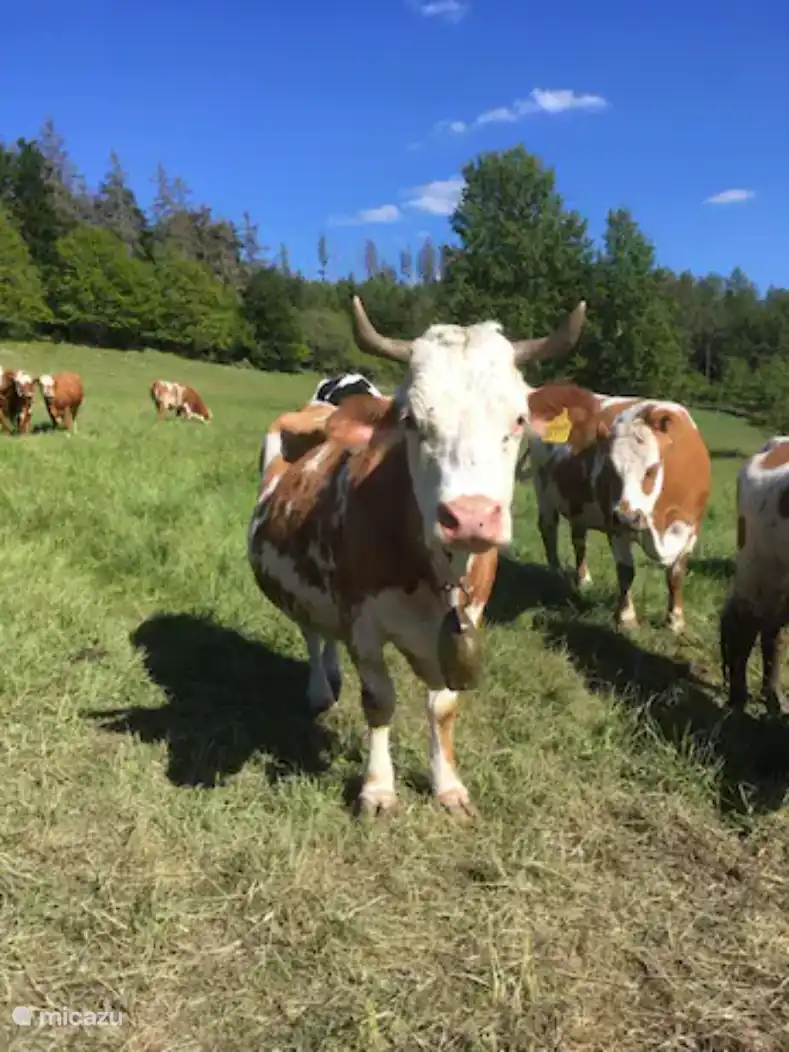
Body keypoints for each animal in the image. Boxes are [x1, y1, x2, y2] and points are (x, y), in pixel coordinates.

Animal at [247, 294, 588, 819]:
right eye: (411, 420)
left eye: (518, 420)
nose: (470, 517)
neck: (433, 573)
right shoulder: (363, 622)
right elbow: (379, 700)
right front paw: (377, 789)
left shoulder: (465, 621)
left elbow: (442, 706)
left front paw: (447, 784)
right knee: (311, 631)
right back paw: (320, 689)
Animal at [522, 386, 712, 633]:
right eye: (610, 468)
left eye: (651, 469)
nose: (626, 517)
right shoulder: (615, 527)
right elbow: (625, 571)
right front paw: (626, 618)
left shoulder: (692, 527)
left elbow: (676, 574)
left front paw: (675, 620)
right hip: (543, 490)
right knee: (549, 530)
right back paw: (555, 575)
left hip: (578, 505)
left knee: (579, 540)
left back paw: (583, 579)